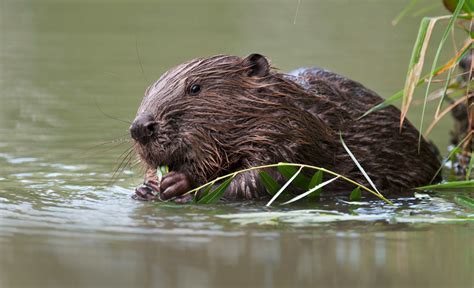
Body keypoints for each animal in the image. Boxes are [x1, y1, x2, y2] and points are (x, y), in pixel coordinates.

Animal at [130, 54, 440, 202]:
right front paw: (147, 186)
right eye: (147, 92)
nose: (141, 128)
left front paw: (179, 185)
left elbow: (261, 179)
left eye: (194, 87)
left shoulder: (293, 136)